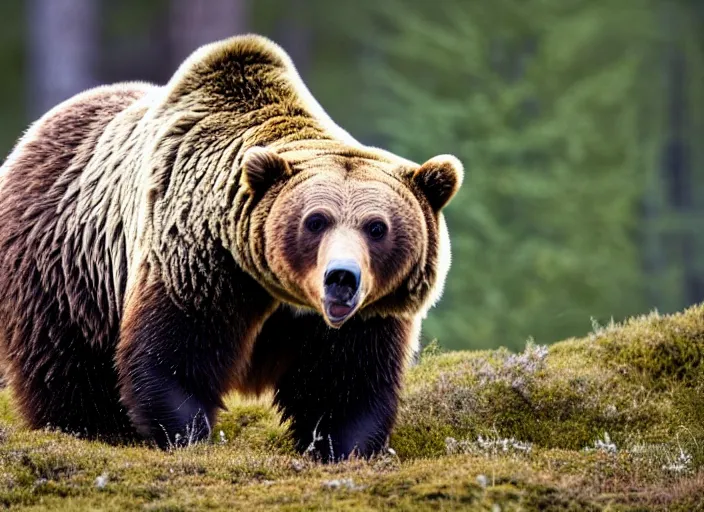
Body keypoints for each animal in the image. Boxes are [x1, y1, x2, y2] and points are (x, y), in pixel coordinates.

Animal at [0, 35, 462, 460]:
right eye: (315, 220)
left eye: (377, 227)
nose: (341, 278)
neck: (279, 289)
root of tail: (31, 136)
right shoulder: (198, 262)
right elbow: (174, 353)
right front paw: (187, 434)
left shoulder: (366, 316)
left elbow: (347, 380)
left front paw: (344, 447)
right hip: (65, 263)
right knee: (65, 358)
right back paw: (88, 428)